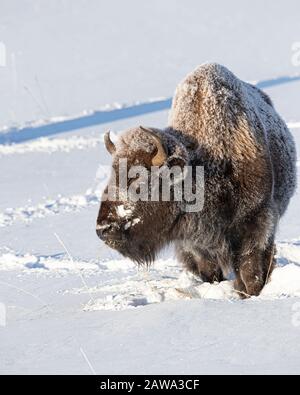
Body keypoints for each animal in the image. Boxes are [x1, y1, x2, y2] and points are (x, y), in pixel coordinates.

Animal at [95, 62, 296, 296]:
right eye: (113, 172)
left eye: (140, 179)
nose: (103, 229)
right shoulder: (193, 242)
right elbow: (210, 271)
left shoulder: (256, 222)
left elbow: (250, 270)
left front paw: (249, 294)